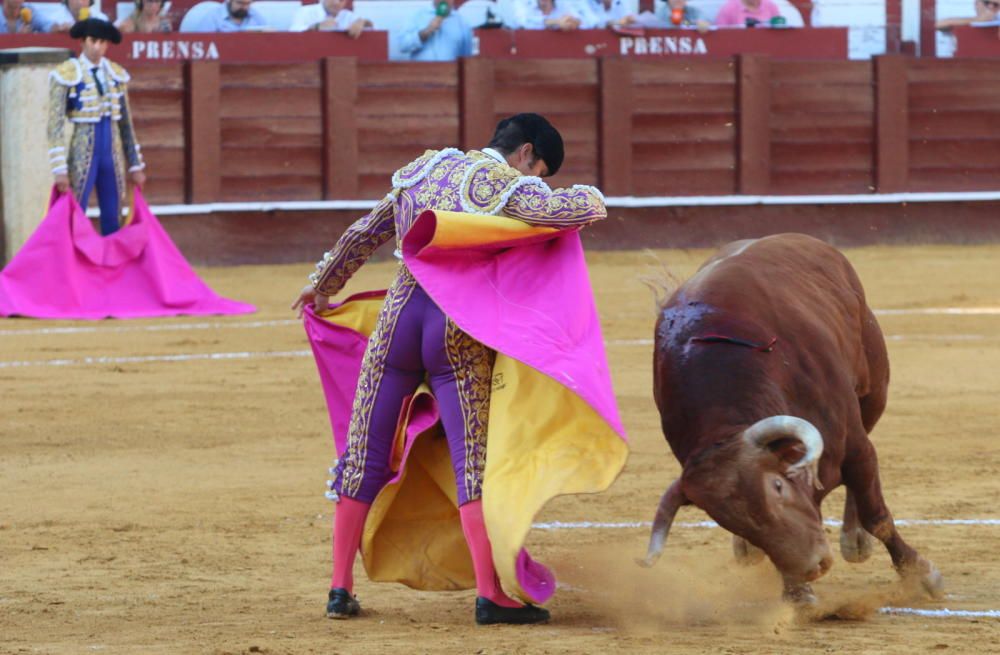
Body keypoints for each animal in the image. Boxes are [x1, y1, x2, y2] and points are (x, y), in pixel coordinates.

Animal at [644, 232, 940, 604]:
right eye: (725, 520)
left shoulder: (857, 446)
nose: (812, 566)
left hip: (874, 391)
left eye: (777, 485)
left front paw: (922, 574)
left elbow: (878, 516)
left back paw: (855, 540)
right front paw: (797, 593)